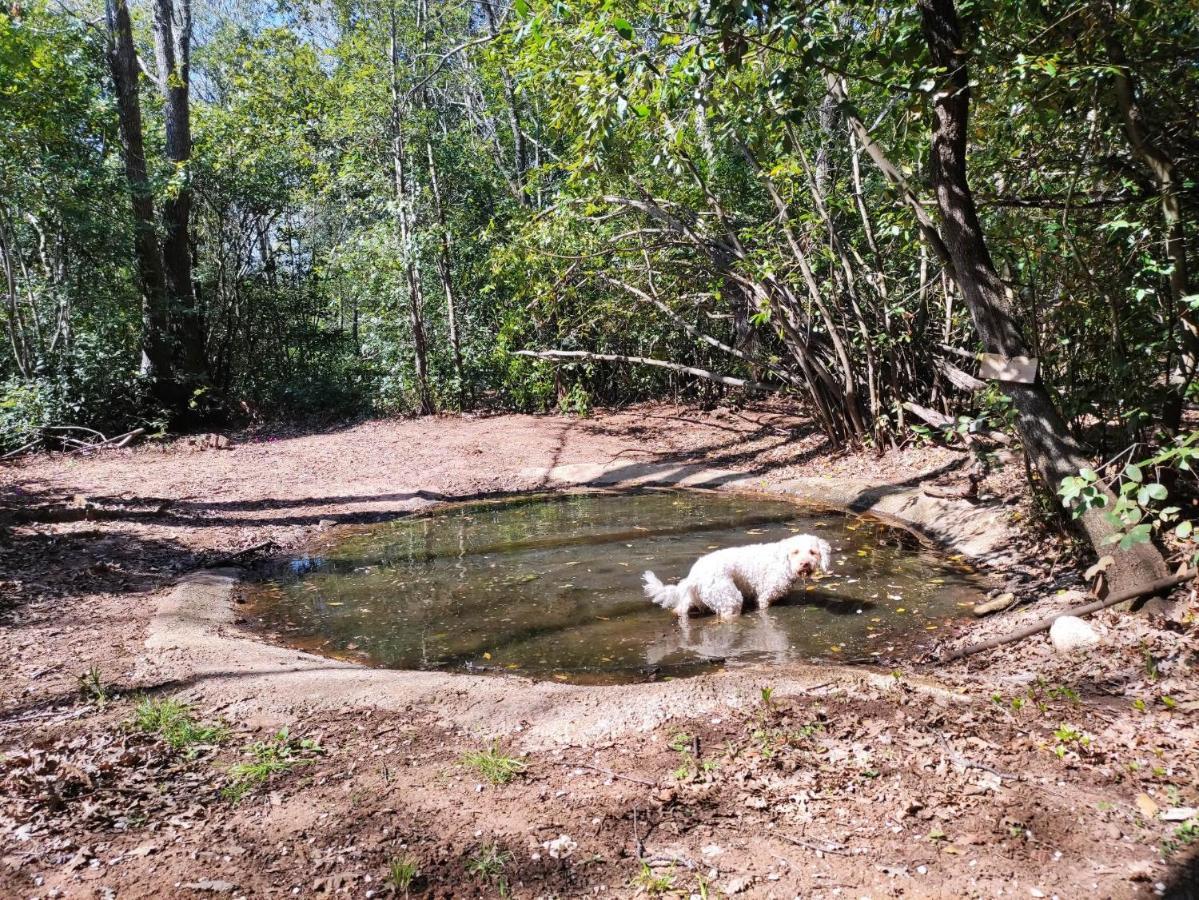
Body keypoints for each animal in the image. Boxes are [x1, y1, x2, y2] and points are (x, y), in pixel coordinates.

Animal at [642, 534, 829, 618]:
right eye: (795, 552)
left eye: (812, 552)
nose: (805, 563)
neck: (783, 561)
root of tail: (695, 576)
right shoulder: (765, 596)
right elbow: (763, 606)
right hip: (730, 599)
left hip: (691, 599)